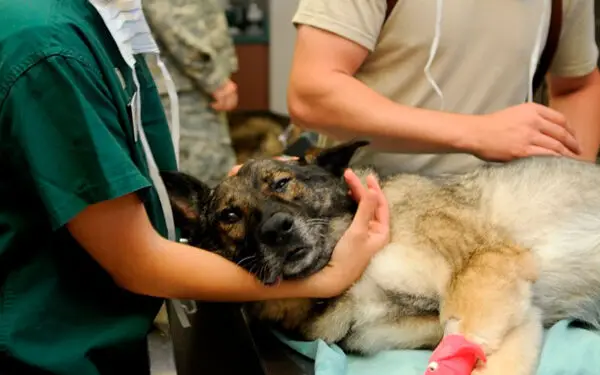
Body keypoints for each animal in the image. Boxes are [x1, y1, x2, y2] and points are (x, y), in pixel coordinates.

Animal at [161, 141, 600, 375]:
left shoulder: (484, 266)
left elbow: (464, 333)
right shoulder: (518, 316)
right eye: (229, 216)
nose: (277, 229)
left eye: (283, 183)